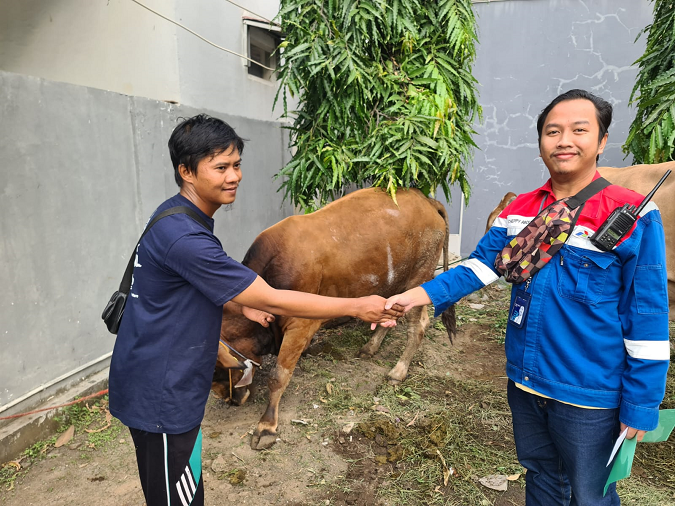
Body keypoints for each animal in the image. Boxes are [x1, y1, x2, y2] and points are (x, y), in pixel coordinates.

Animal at [214, 188, 456, 448]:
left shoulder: (300, 325)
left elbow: (278, 377)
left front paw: (266, 426)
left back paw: (398, 372)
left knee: (418, 327)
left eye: (216, 368)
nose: (228, 399)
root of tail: (426, 199)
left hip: (418, 279)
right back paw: (370, 347)